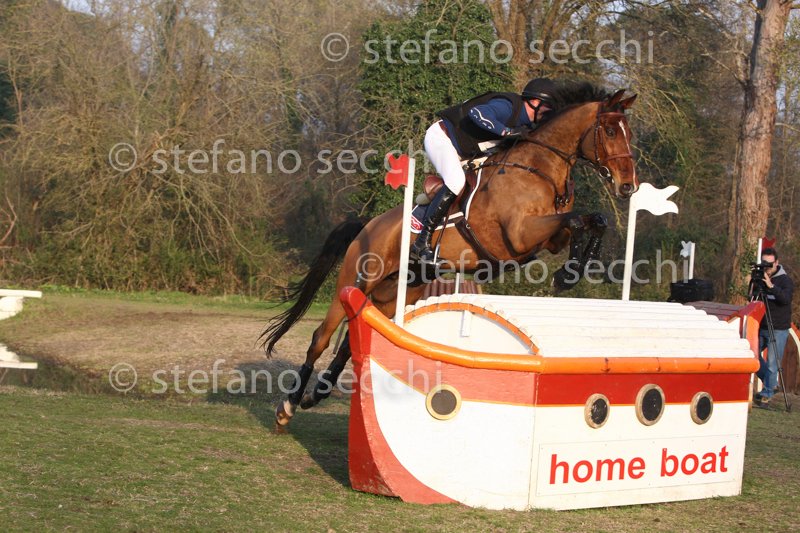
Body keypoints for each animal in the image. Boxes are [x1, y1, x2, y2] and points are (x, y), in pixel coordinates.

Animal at [261, 83, 639, 428]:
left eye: (628, 133)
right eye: (609, 131)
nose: (628, 186)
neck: (538, 169)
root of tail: (369, 224)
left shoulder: (547, 238)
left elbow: (592, 220)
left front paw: (571, 272)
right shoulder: (519, 235)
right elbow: (576, 219)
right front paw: (568, 274)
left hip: (394, 294)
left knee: (352, 341)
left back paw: (316, 394)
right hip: (356, 280)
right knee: (320, 339)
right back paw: (288, 407)